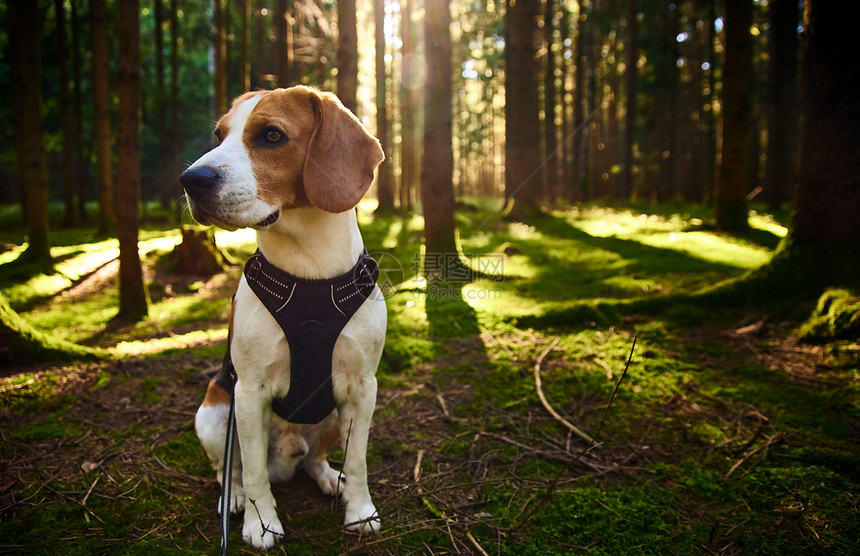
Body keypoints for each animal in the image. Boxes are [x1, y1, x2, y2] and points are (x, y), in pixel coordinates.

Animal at [184, 84, 386, 548]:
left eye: (272, 135)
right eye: (219, 135)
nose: (191, 180)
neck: (309, 272)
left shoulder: (363, 386)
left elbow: (359, 460)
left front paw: (360, 511)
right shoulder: (248, 392)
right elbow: (255, 472)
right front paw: (261, 525)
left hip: (329, 415)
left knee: (315, 459)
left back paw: (330, 477)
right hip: (215, 413)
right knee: (232, 470)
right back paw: (235, 499)